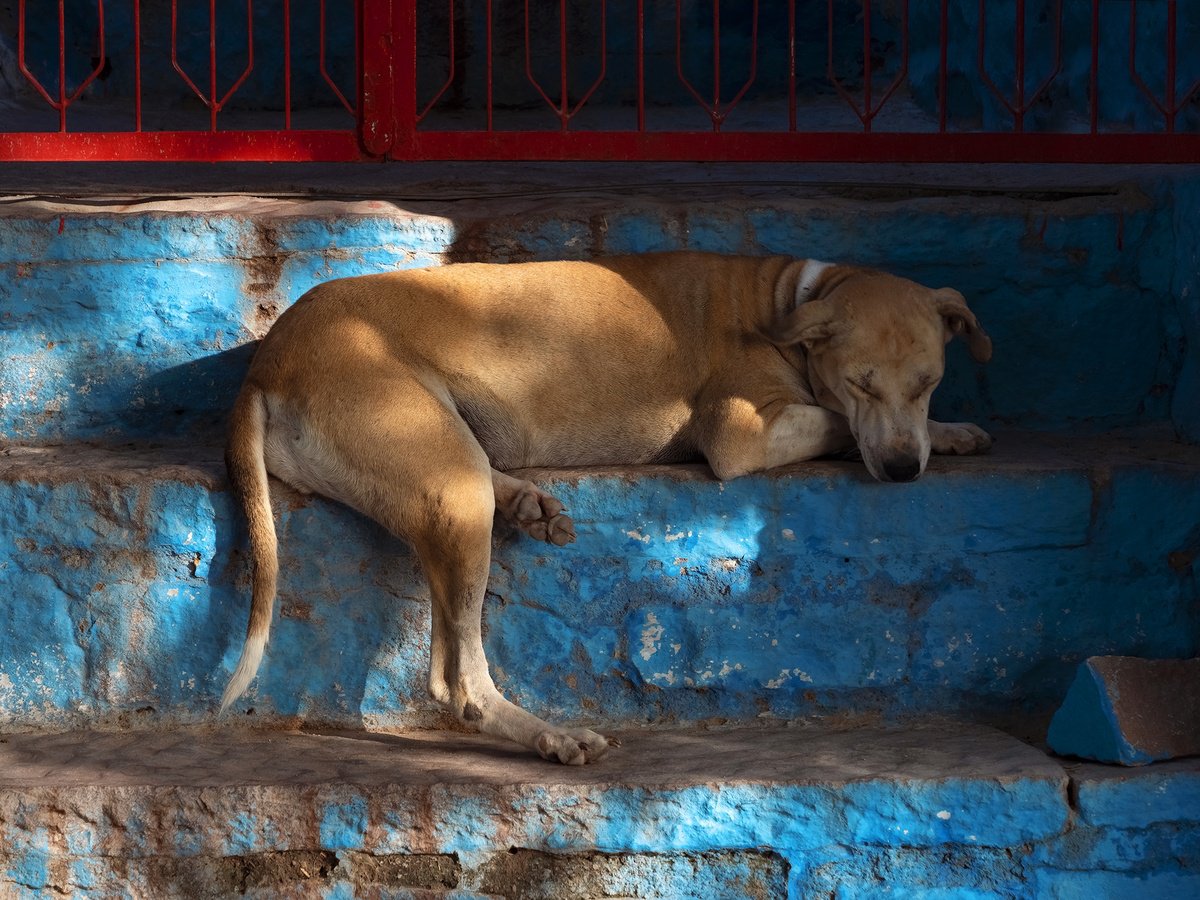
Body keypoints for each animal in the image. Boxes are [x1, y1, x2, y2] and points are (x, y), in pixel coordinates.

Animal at [220, 250, 988, 763]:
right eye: (862, 383)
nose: (902, 472)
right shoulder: (741, 431)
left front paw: (951, 433)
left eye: (929, 382)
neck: (791, 298)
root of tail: (266, 367)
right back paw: (546, 735)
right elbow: (833, 423)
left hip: (446, 465)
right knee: (457, 681)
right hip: (448, 486)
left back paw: (526, 503)